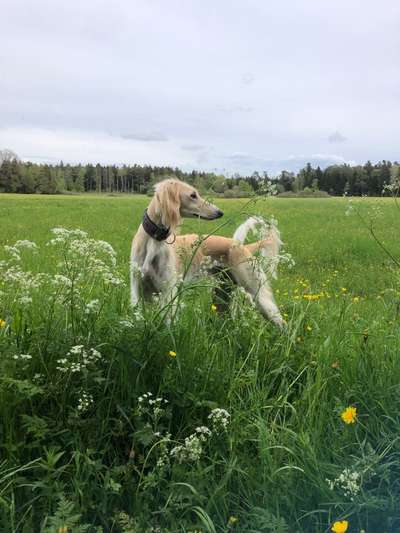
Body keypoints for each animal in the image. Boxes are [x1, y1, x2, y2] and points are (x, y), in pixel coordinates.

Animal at [130, 179, 282, 326]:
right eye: (193, 195)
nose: (220, 212)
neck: (154, 240)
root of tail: (241, 246)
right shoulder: (137, 291)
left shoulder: (168, 292)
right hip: (222, 296)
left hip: (256, 292)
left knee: (281, 322)